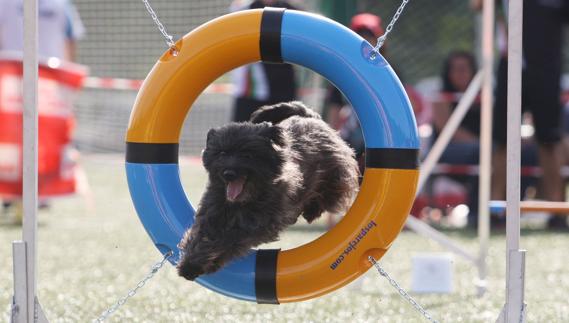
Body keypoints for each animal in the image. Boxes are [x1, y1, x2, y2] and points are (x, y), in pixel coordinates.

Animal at [176, 101, 360, 280]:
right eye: (222, 153)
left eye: (247, 155)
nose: (228, 173)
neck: (243, 202)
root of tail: (310, 117)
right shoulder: (211, 213)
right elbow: (199, 236)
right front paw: (189, 264)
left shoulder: (257, 224)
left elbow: (227, 240)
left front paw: (206, 261)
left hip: (335, 177)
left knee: (329, 195)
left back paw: (312, 211)